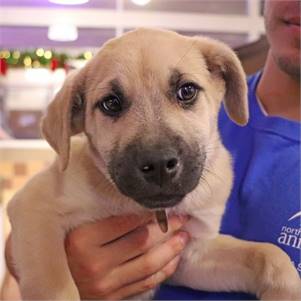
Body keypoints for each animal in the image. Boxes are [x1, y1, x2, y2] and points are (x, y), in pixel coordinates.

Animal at [7, 27, 300, 298]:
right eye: (111, 103)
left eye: (187, 91)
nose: (158, 164)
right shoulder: (34, 207)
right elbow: (54, 285)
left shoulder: (191, 254)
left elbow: (269, 254)